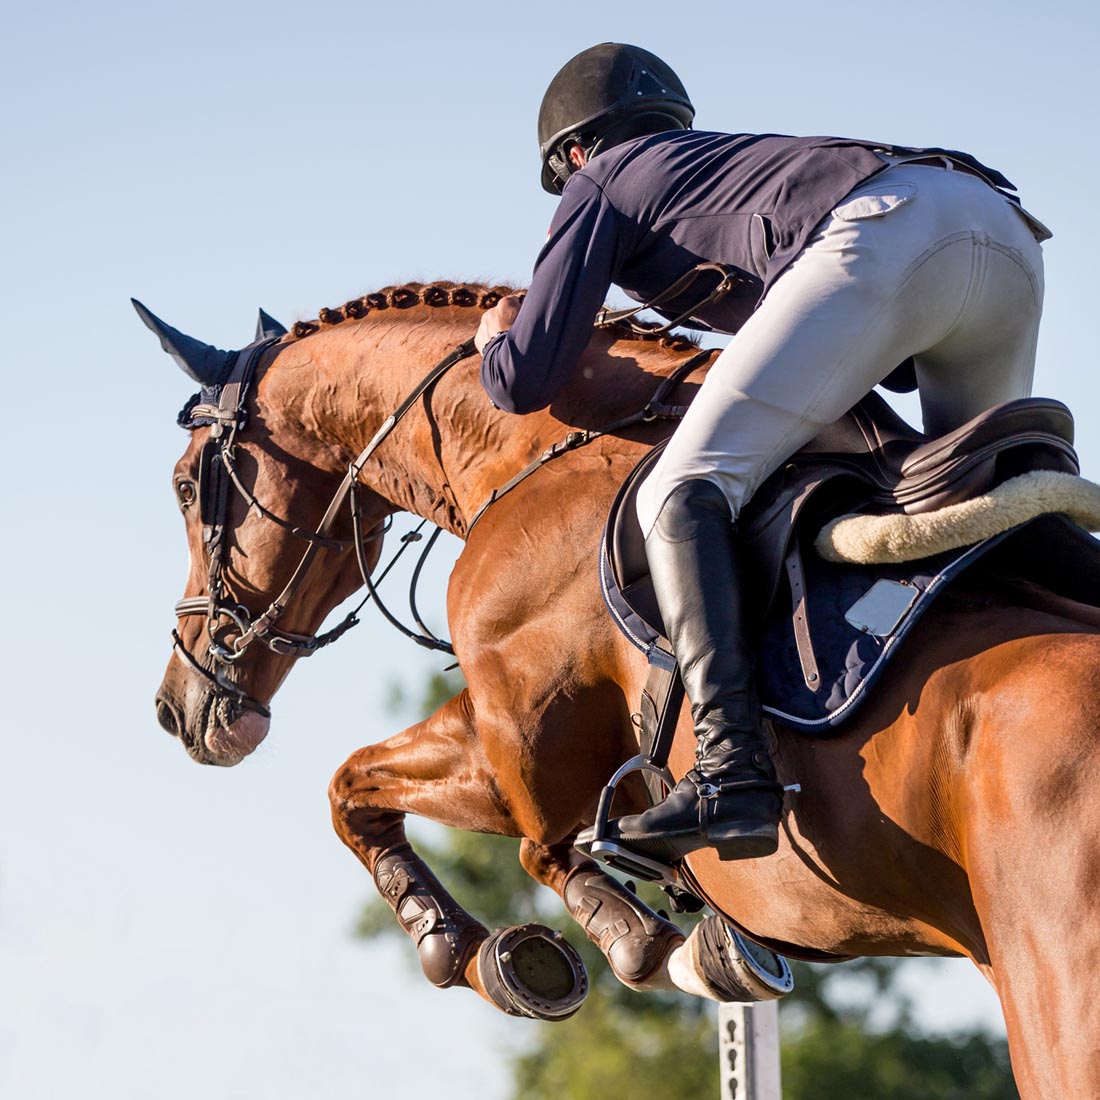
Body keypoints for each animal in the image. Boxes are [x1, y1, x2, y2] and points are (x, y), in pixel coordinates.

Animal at [150, 281, 1100, 1100]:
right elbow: (360, 788)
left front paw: (504, 951)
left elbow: (406, 804)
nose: (176, 709)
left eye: (189, 485)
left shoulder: (524, 746)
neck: (536, 454)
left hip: (1055, 1000)